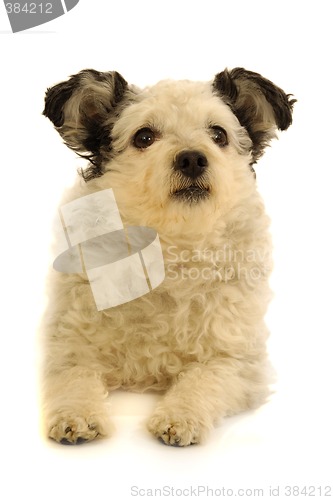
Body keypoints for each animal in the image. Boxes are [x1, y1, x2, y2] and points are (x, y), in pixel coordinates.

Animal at [40, 66, 294, 446]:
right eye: (144, 137)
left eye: (218, 134)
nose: (192, 158)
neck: (168, 247)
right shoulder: (68, 346)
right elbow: (74, 379)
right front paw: (77, 415)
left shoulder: (240, 361)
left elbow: (203, 379)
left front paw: (181, 416)